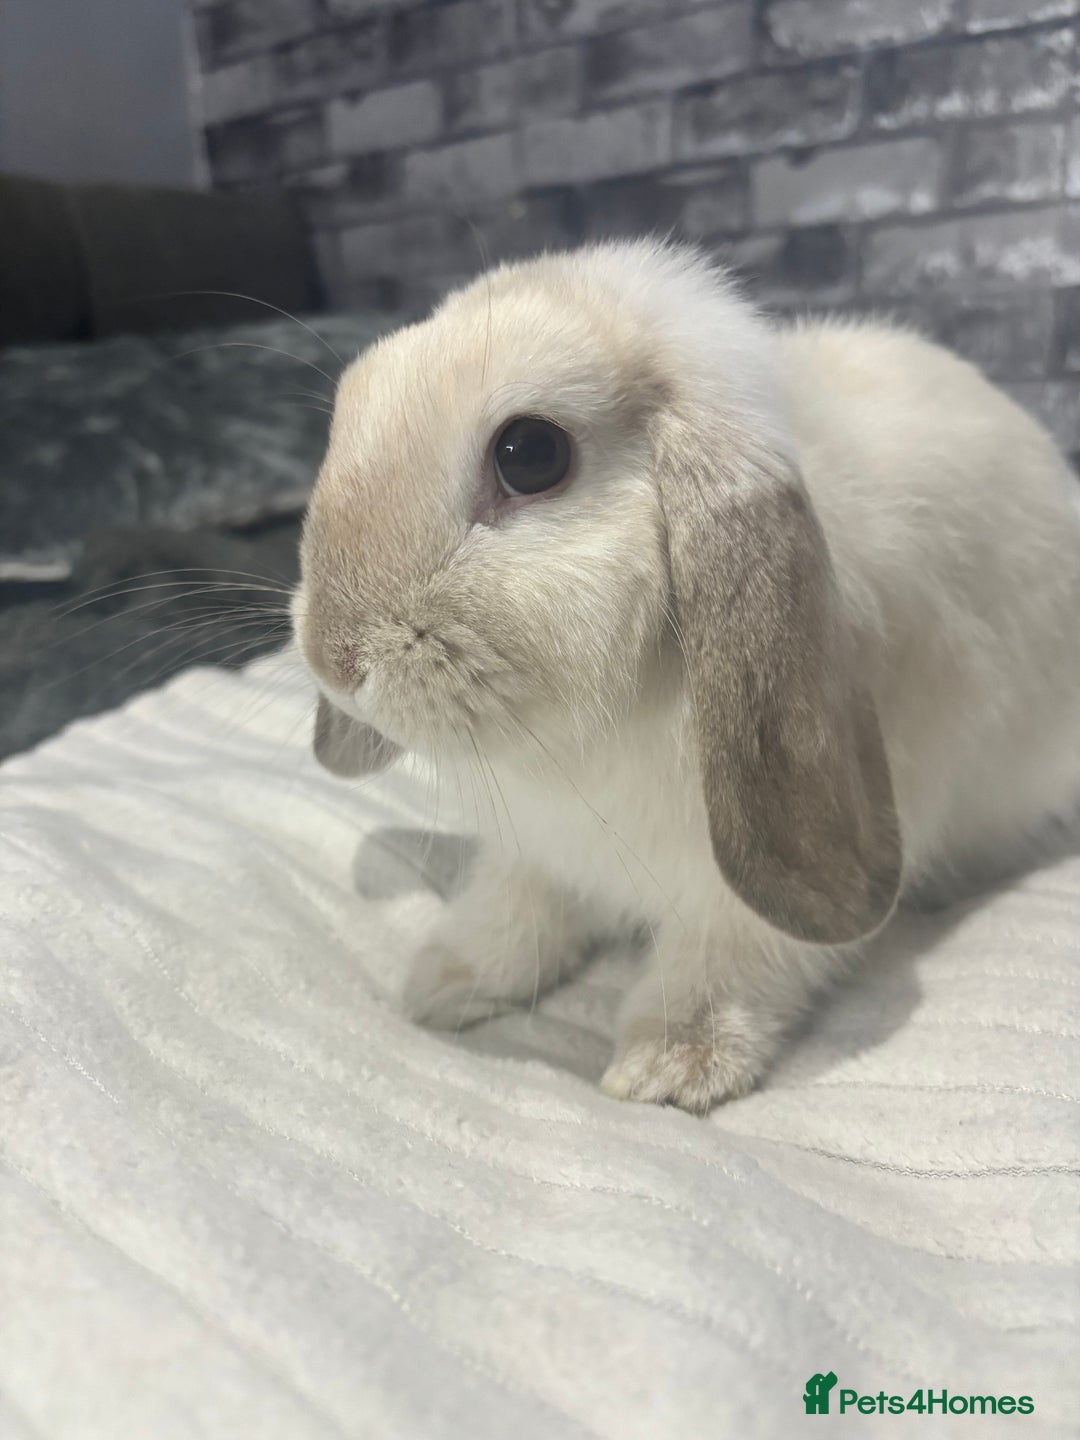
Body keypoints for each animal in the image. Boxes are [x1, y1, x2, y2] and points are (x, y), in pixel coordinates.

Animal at [293, 239, 1080, 1113]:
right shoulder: (538, 850)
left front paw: (671, 1066)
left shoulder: (736, 900)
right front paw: (443, 981)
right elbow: (516, 911)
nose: (334, 659)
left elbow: (724, 964)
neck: (571, 748)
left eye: (531, 455)